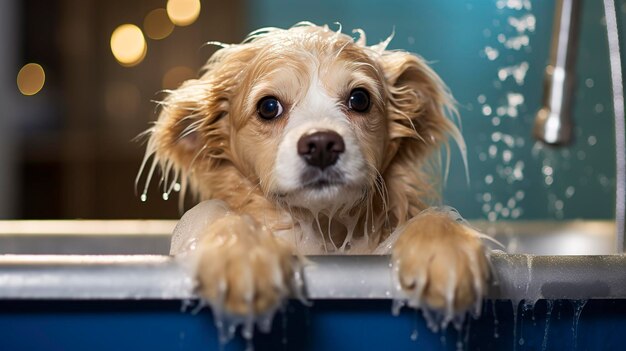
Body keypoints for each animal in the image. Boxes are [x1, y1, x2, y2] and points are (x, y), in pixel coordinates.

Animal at [140, 22, 488, 322]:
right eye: (268, 107)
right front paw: (241, 256)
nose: (321, 145)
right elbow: (230, 219)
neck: (322, 231)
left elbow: (432, 217)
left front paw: (445, 249)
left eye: (359, 99)